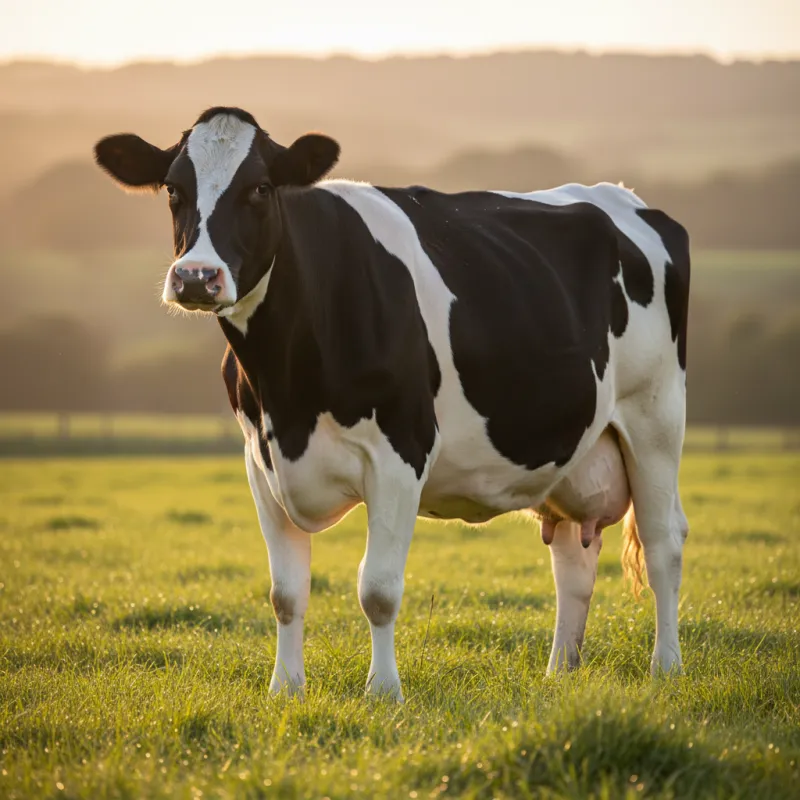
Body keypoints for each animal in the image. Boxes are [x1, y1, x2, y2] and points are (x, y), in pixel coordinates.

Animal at [94, 107, 690, 701]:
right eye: (173, 188)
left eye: (260, 187)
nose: (197, 276)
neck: (287, 391)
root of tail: (621, 196)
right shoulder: (259, 461)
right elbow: (285, 592)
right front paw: (285, 689)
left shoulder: (400, 452)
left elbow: (377, 589)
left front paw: (383, 692)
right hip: (572, 451)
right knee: (573, 562)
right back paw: (560, 672)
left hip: (655, 419)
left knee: (664, 542)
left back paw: (666, 667)